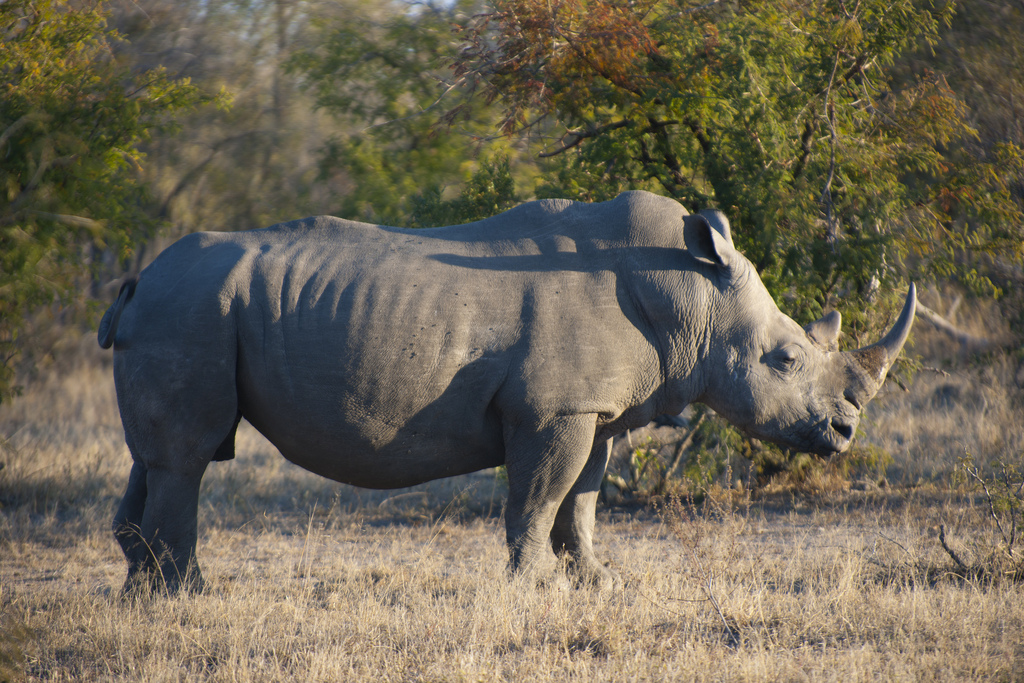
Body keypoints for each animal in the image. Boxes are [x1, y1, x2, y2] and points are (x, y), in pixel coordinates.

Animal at [98, 190, 915, 593]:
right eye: (785, 358)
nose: (844, 434)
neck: (689, 292)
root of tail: (137, 282)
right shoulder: (554, 408)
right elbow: (538, 496)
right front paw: (535, 588)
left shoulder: (596, 409)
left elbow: (582, 500)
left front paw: (595, 583)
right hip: (191, 310)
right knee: (188, 457)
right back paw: (190, 594)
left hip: (185, 310)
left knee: (158, 459)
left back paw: (142, 591)